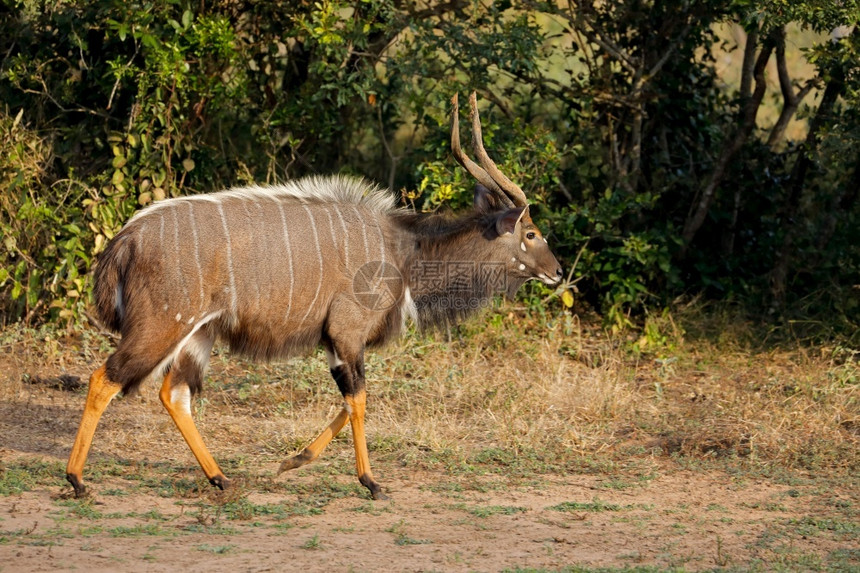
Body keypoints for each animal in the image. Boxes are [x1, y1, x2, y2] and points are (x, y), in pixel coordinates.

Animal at [69, 91, 564, 498]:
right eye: (531, 233)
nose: (558, 273)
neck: (405, 253)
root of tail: (124, 241)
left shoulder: (335, 342)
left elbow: (348, 401)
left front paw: (291, 462)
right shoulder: (347, 333)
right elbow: (359, 399)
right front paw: (371, 482)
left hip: (199, 334)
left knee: (174, 393)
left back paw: (221, 478)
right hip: (161, 325)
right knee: (105, 378)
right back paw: (76, 480)